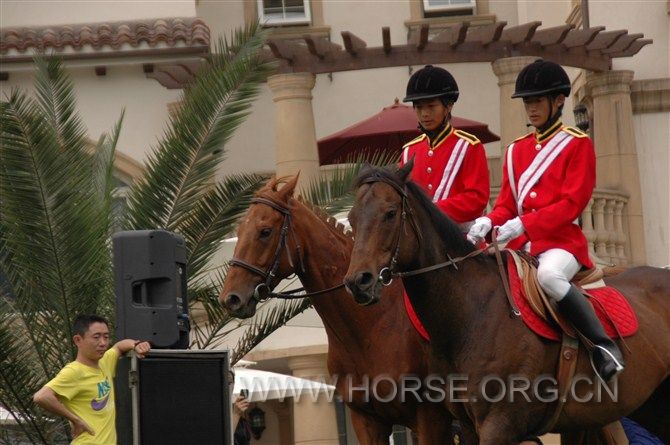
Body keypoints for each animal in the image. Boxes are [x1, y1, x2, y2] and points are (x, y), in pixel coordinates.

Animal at [220, 176, 472, 444]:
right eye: (238, 232)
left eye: (265, 231)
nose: (230, 299)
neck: (370, 328)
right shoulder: (366, 420)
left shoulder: (430, 419)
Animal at [344, 162, 670, 444]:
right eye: (352, 219)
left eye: (389, 213)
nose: (358, 282)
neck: (470, 313)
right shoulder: (467, 425)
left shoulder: (498, 425)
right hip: (650, 406)